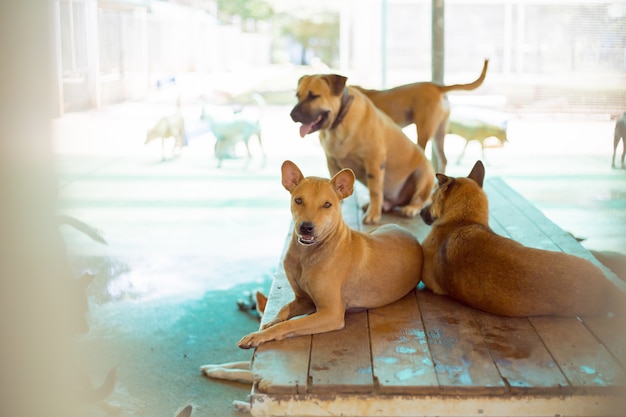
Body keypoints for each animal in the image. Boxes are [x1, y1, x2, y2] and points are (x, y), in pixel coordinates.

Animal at [236, 161, 422, 350]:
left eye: (327, 205)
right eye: (298, 200)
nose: (306, 227)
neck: (306, 255)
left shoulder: (331, 314)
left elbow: (289, 324)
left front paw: (259, 335)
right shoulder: (303, 299)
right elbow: (283, 310)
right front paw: (269, 323)